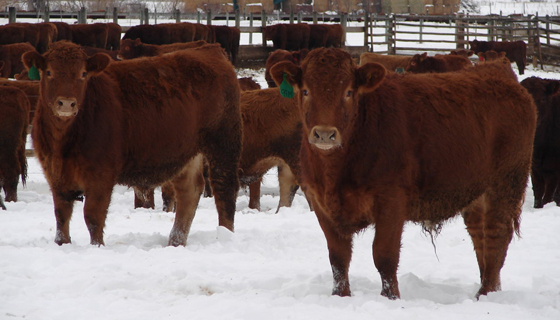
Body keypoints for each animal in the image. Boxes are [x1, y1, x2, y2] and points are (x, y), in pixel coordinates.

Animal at [23, 42, 242, 248]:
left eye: (83, 73)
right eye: (48, 72)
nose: (67, 103)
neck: (63, 143)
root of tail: (209, 49)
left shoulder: (101, 174)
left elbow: (93, 215)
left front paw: (97, 246)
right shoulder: (55, 174)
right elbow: (61, 213)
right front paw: (62, 243)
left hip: (223, 142)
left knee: (224, 190)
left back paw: (226, 236)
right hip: (188, 152)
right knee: (189, 191)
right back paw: (175, 242)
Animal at [272, 47, 540, 300]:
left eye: (348, 92)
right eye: (305, 91)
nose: (325, 134)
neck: (335, 172)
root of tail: (499, 75)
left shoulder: (391, 200)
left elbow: (384, 255)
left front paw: (390, 298)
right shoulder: (320, 203)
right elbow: (338, 257)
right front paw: (340, 297)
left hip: (506, 183)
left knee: (497, 234)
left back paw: (486, 294)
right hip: (476, 193)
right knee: (479, 235)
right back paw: (486, 287)